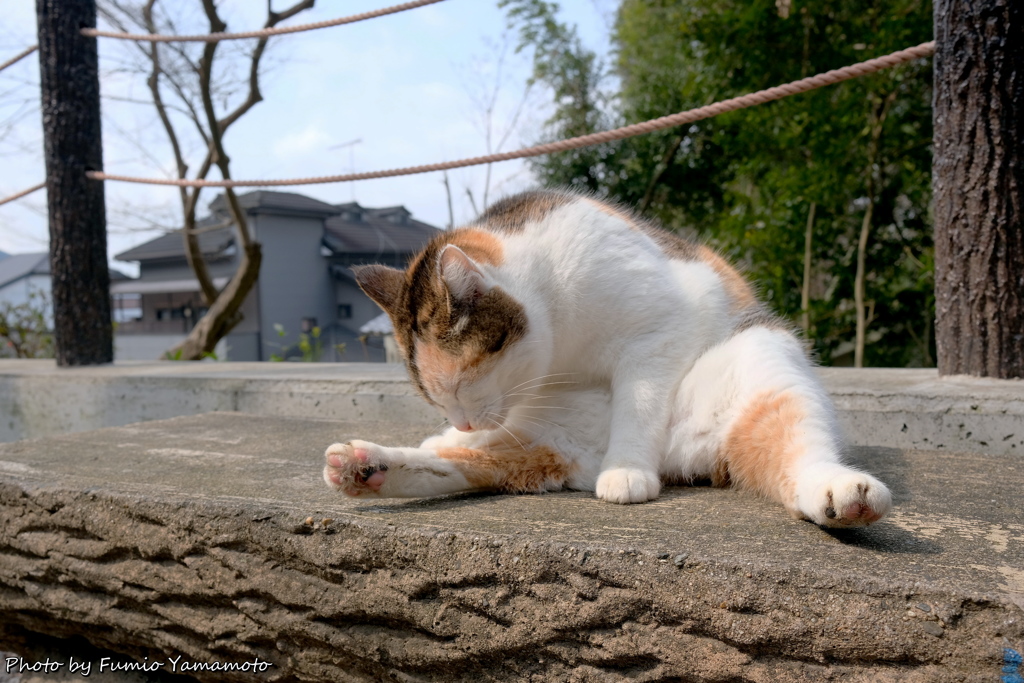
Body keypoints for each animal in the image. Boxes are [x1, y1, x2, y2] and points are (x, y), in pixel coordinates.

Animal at [323, 191, 892, 528]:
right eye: (434, 397)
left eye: (462, 385)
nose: (459, 421)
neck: (564, 344)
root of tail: (681, 460)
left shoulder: (658, 333)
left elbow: (639, 404)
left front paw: (627, 472)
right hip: (543, 437)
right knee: (463, 464)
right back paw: (363, 466)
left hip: (760, 358)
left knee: (797, 443)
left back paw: (844, 494)